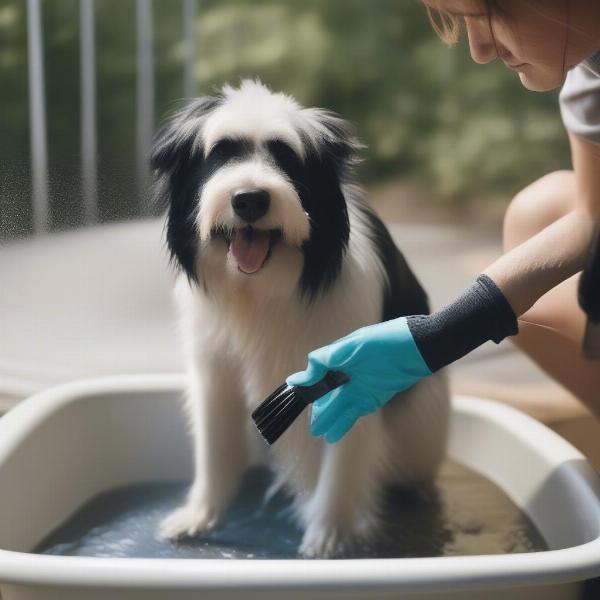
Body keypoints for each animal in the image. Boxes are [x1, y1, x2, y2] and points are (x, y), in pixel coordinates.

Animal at [152, 78, 448, 556]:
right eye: (221, 153)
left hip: (423, 420)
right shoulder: (214, 369)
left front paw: (329, 536)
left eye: (286, 157)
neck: (262, 292)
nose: (249, 199)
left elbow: (341, 462)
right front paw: (199, 515)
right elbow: (213, 448)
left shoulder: (352, 376)